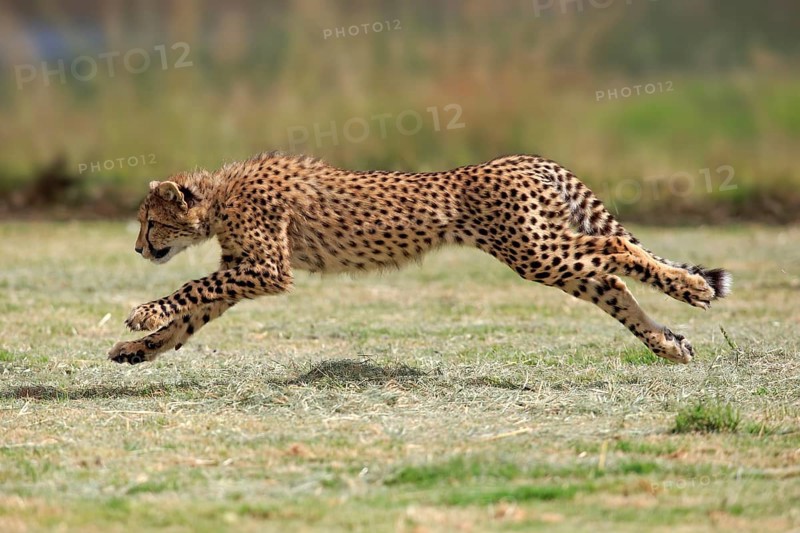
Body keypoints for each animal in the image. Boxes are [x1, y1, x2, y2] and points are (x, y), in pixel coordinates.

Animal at [109, 152, 731, 365]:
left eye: (149, 222)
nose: (138, 247)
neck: (218, 196)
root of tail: (526, 158)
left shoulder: (265, 269)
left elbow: (188, 291)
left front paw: (141, 315)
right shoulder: (246, 273)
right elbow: (192, 314)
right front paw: (139, 350)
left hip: (535, 251)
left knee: (617, 250)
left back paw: (693, 289)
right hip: (548, 256)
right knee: (613, 285)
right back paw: (669, 343)